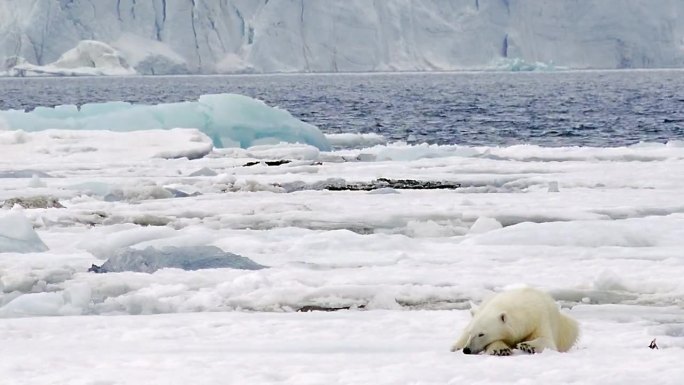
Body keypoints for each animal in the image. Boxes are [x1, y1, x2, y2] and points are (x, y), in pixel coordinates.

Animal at [452, 284, 580, 354]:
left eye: (481, 334)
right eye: (471, 333)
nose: (467, 350)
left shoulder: (541, 318)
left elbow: (547, 341)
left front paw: (527, 345)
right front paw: (501, 349)